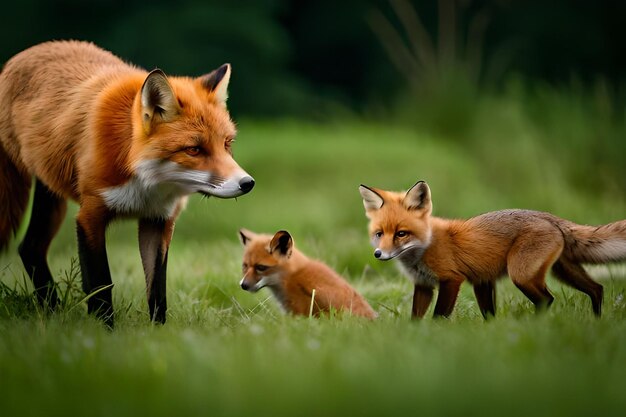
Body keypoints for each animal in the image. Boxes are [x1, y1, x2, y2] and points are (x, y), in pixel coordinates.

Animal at [0, 39, 254, 324]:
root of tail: (25, 54)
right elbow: (101, 285)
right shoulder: (90, 216)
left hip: (51, 193)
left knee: (30, 247)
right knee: (30, 247)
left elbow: (157, 291)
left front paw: (158, 333)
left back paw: (52, 312)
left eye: (227, 144)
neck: (146, 182)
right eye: (194, 150)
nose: (247, 183)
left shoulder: (159, 220)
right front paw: (103, 329)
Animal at [358, 180, 624, 318]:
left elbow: (438, 316)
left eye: (401, 233)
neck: (424, 248)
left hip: (522, 275)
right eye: (379, 234)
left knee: (547, 300)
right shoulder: (423, 285)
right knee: (596, 289)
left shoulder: (451, 280)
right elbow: (415, 318)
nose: (378, 254)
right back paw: (596, 321)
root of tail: (547, 216)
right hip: (562, 272)